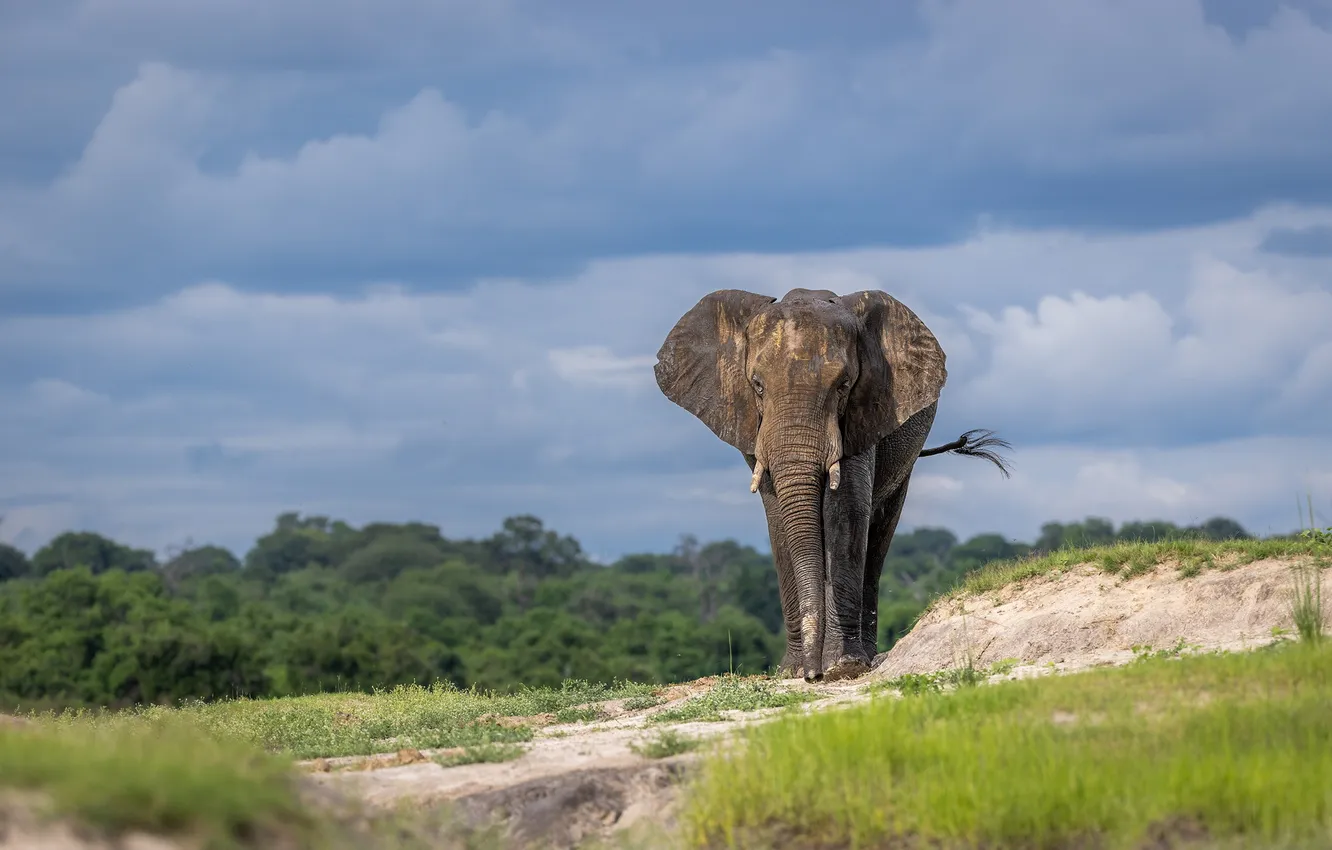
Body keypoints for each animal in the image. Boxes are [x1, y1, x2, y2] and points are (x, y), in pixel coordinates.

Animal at [654, 287, 1010, 683]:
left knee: (880, 532)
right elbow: (779, 518)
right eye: (757, 386)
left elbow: (846, 511)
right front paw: (794, 670)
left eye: (843, 386)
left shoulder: (865, 413)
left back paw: (863, 657)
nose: (813, 677)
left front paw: (842, 667)